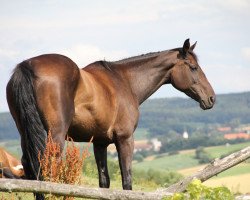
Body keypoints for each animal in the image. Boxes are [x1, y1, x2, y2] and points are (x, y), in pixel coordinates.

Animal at [6, 38, 216, 198]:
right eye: (193, 67)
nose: (211, 98)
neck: (125, 81)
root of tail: (27, 65)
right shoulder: (125, 139)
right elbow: (127, 182)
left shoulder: (100, 143)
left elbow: (104, 183)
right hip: (55, 137)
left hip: (26, 134)